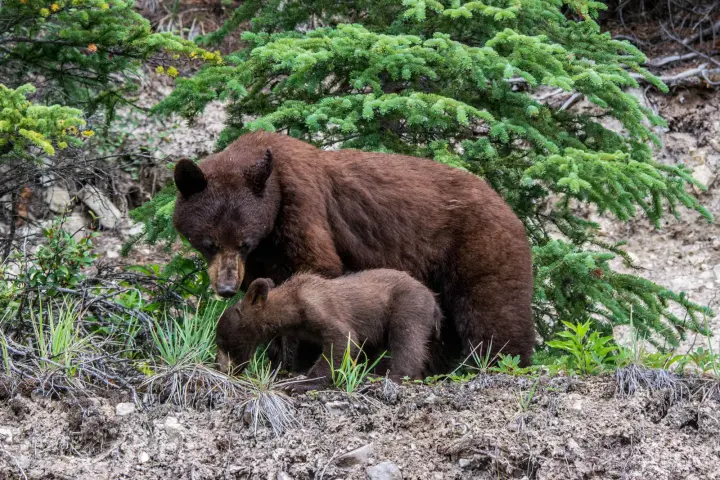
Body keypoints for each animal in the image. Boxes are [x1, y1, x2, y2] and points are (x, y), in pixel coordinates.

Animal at [173, 130, 536, 369]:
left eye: (243, 241)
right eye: (209, 242)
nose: (225, 288)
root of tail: (509, 208)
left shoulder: (303, 209)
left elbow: (315, 272)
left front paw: (295, 361)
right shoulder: (260, 258)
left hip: (479, 244)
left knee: (492, 311)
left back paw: (500, 363)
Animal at [215, 269, 443, 392]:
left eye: (221, 342)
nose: (223, 368)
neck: (291, 307)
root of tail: (434, 302)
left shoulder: (318, 307)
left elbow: (342, 338)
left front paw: (300, 383)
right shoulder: (302, 330)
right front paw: (293, 372)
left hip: (407, 304)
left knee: (407, 339)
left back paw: (391, 377)